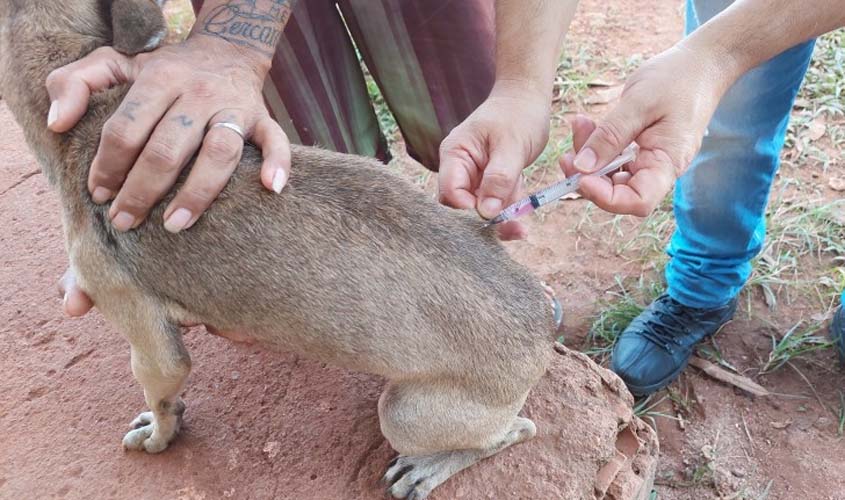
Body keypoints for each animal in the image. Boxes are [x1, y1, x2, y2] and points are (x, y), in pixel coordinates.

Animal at [0, 1, 556, 498]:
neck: (92, 115)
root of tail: (543, 318)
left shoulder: (141, 328)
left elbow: (160, 393)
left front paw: (158, 436)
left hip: (406, 413)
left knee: (515, 431)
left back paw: (425, 470)